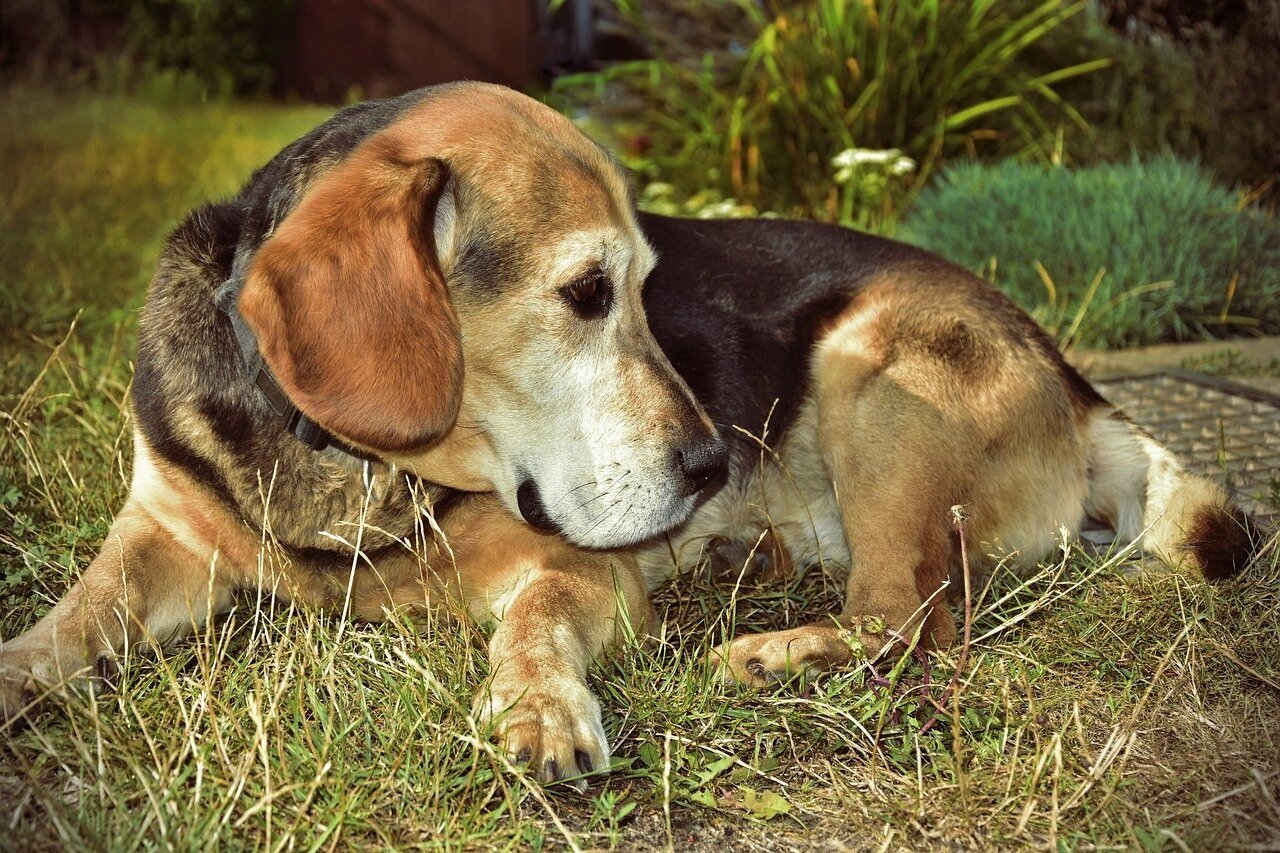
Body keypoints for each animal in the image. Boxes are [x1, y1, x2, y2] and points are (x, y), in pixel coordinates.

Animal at [0, 83, 1254, 778]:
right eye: (587, 292)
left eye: (649, 286)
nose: (709, 468)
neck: (351, 465)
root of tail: (1073, 373)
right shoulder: (158, 536)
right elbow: (67, 625)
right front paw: (18, 675)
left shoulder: (578, 570)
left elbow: (533, 621)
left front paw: (535, 706)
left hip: (875, 375)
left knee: (913, 624)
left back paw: (770, 647)